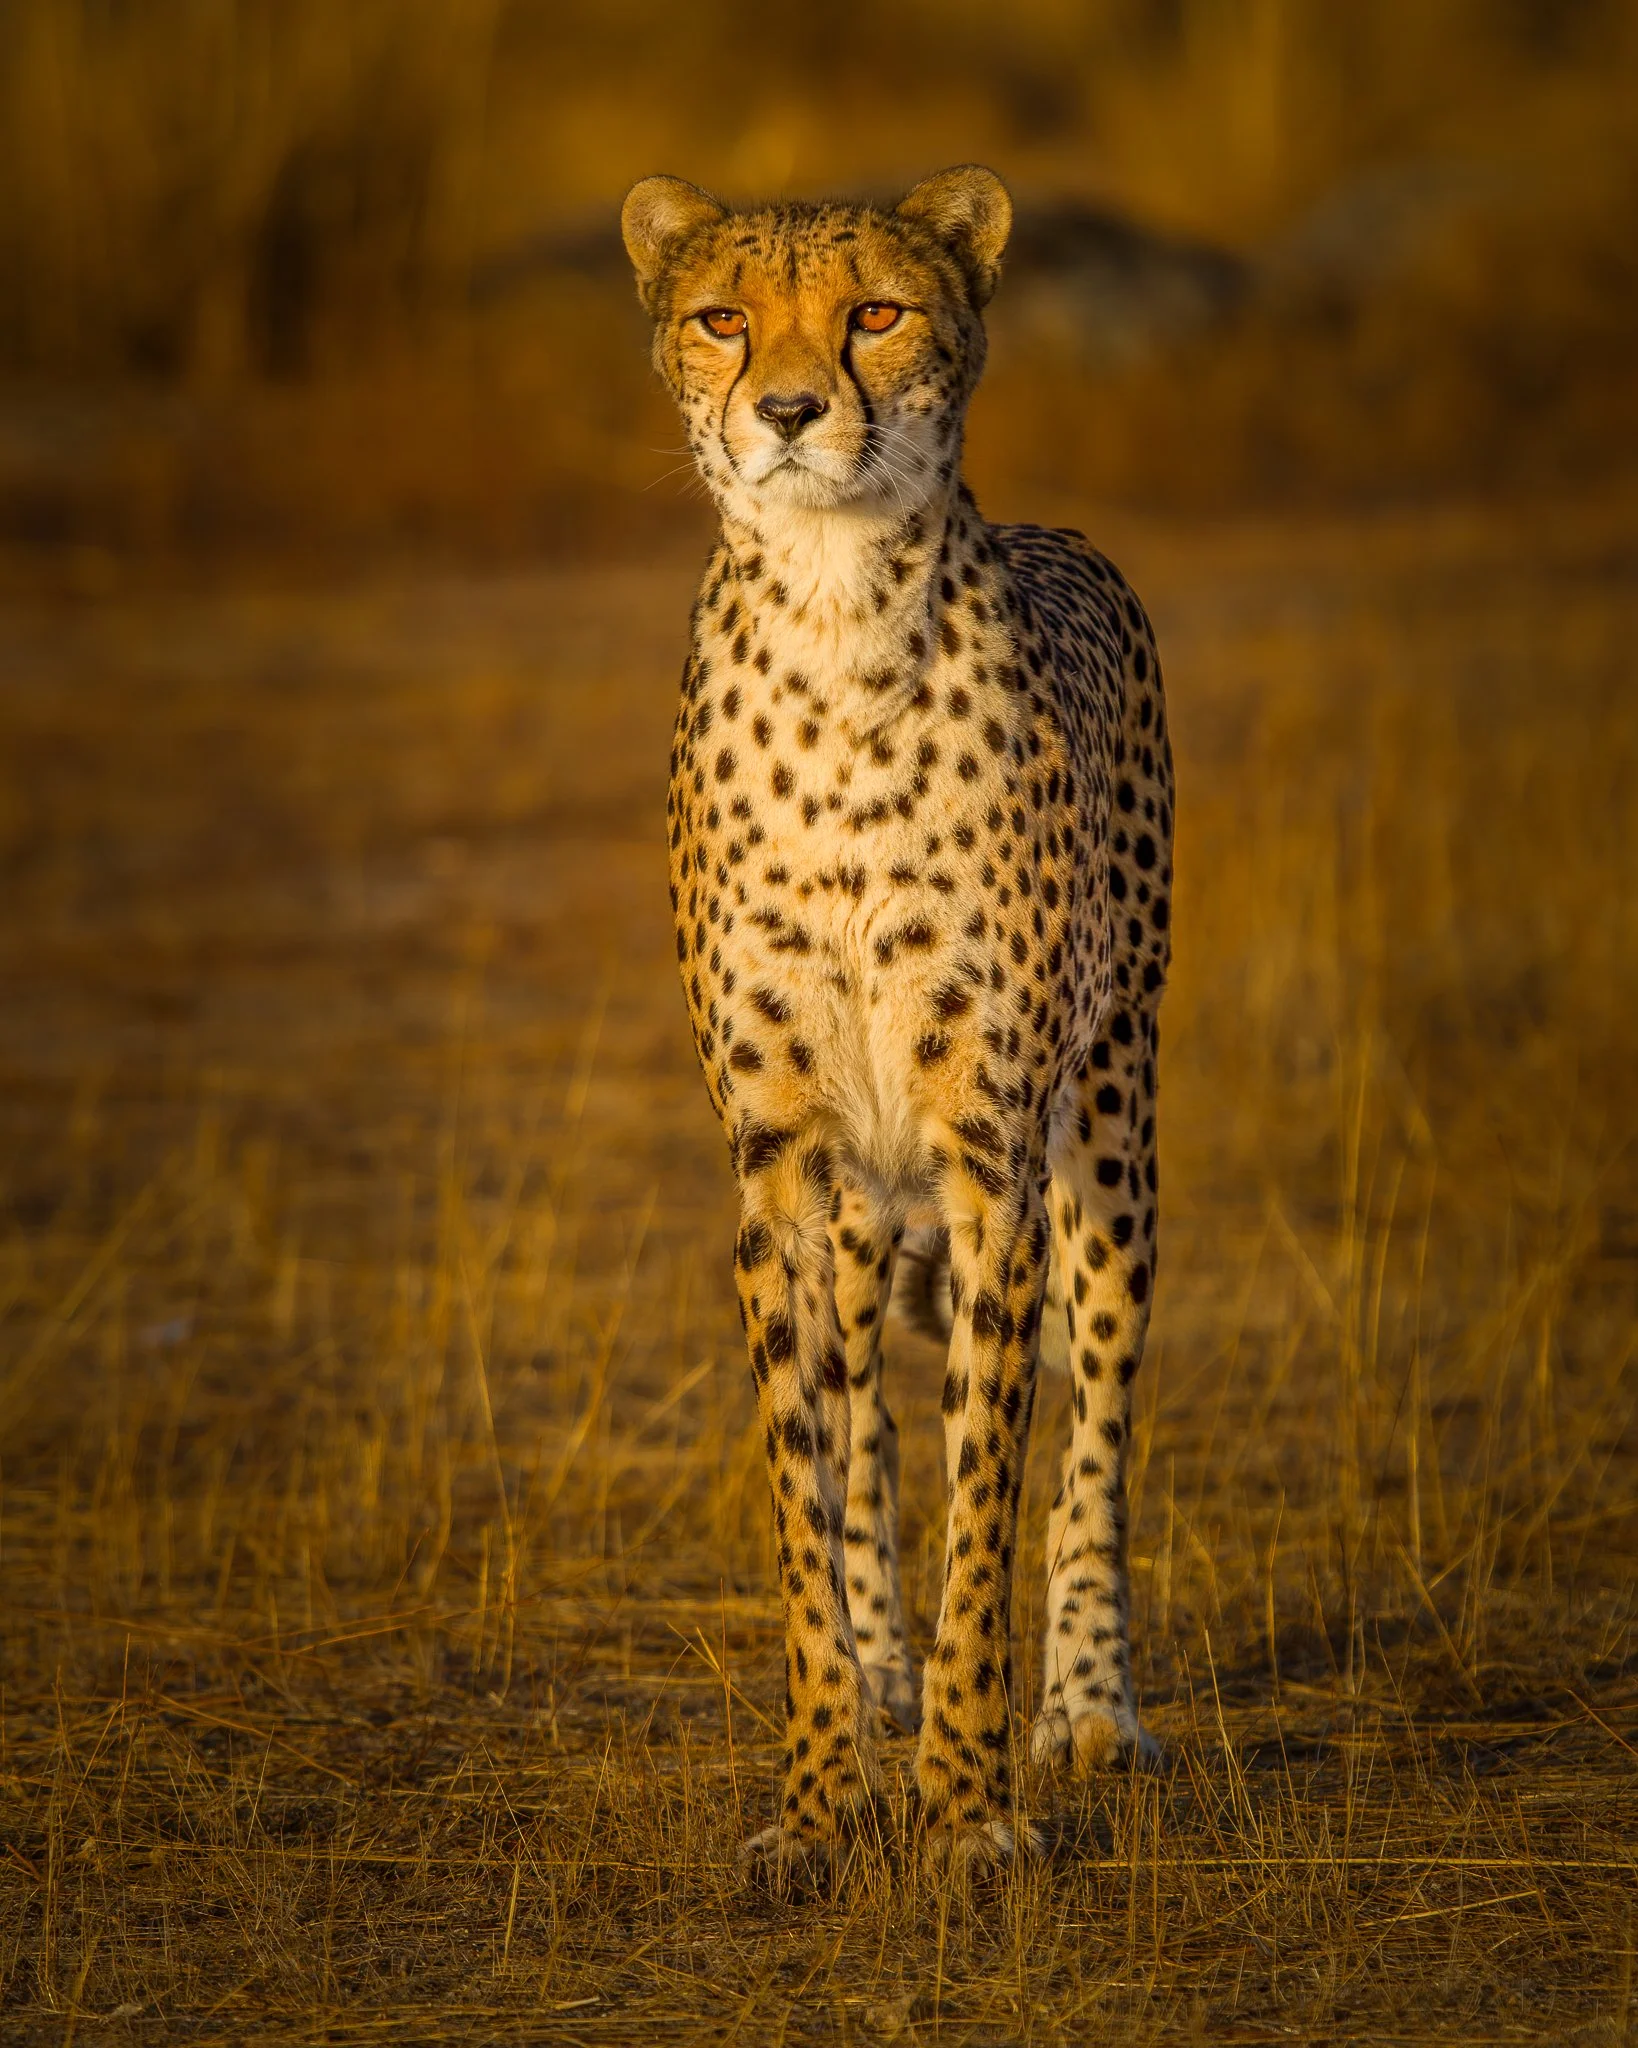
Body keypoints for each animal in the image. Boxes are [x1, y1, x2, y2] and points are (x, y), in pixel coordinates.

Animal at [620, 164, 1174, 1886]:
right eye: (721, 317)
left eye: (876, 313)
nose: (791, 410)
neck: (835, 608)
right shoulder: (781, 1158)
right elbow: (805, 1489)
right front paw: (819, 1796)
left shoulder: (992, 1156)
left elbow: (990, 1487)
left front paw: (968, 1805)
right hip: (864, 1203)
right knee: (860, 1413)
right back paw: (876, 1681)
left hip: (1110, 1135)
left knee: (1095, 1431)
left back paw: (1086, 1710)